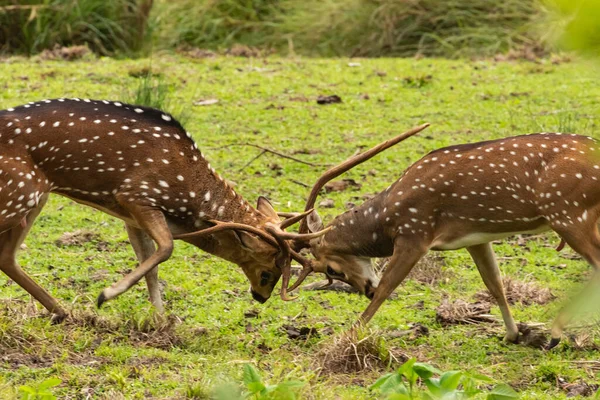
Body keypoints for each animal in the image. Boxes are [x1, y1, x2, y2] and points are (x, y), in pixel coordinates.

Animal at [0, 98, 344, 324]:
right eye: (268, 271)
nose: (260, 297)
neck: (189, 198)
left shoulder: (129, 215)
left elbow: (150, 263)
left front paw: (162, 322)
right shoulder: (137, 194)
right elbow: (165, 248)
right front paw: (106, 295)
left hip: (35, 197)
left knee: (7, 256)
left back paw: (63, 311)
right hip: (20, 192)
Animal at [286, 132, 600, 350]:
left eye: (331, 269)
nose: (366, 289)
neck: (385, 218)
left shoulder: (415, 233)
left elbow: (388, 287)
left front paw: (349, 334)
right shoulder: (476, 237)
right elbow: (494, 284)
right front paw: (512, 334)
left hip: (568, 212)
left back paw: (556, 334)